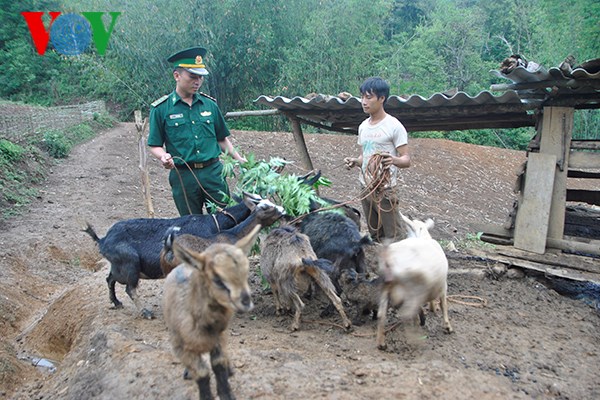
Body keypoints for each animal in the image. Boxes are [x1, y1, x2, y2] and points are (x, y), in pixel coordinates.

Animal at [83, 192, 270, 320]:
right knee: (130, 288)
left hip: (119, 266)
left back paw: (116, 302)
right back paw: (145, 312)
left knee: (110, 279)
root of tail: (102, 240)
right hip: (130, 264)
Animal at [162, 225, 260, 400]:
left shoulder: (219, 340)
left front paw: (227, 394)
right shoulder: (180, 348)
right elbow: (202, 372)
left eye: (245, 273)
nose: (246, 302)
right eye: (218, 280)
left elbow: (218, 365)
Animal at [378, 214, 452, 348]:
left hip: (386, 287)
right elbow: (444, 304)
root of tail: (390, 260)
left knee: (381, 314)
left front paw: (431, 308)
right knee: (405, 314)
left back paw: (381, 343)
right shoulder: (443, 285)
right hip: (414, 289)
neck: (422, 236)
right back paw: (415, 339)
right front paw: (447, 326)